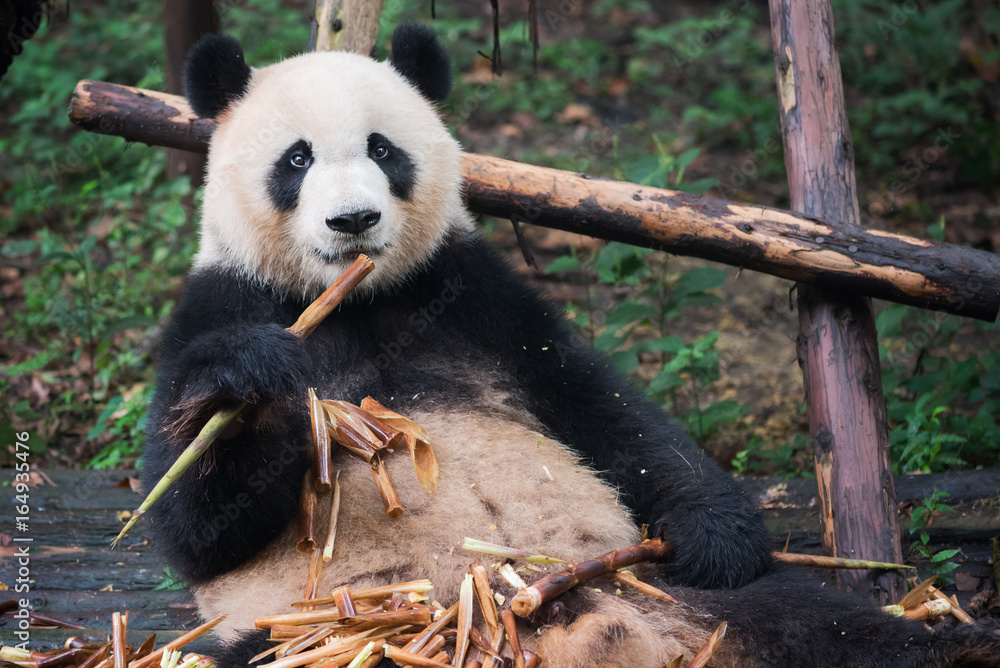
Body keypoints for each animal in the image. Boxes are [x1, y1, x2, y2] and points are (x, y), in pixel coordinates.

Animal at [141, 24, 1000, 668]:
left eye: (384, 150)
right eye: (297, 159)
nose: (353, 222)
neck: (357, 300)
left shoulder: (477, 296)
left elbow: (605, 409)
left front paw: (718, 535)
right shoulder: (218, 304)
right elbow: (196, 524)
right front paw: (250, 384)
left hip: (665, 592)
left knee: (819, 621)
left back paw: (958, 647)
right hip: (335, 633)